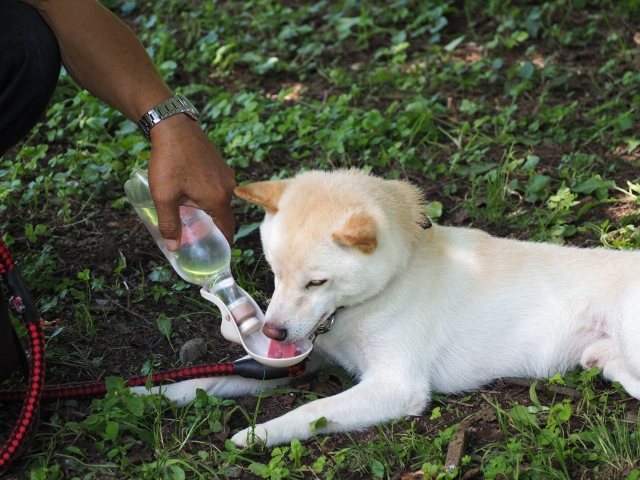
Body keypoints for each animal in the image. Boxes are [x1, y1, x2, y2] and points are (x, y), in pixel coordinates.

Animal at [135, 169, 640, 446]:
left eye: (316, 282)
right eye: (274, 272)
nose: (273, 334)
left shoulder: (396, 387)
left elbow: (308, 411)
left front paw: (258, 434)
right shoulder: (307, 360)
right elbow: (211, 381)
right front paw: (152, 395)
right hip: (616, 368)